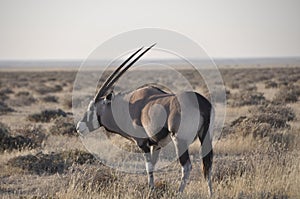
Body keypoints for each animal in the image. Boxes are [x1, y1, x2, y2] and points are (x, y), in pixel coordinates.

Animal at [76, 44, 214, 196]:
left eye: (92, 108)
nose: (79, 127)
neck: (128, 106)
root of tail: (201, 103)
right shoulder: (156, 144)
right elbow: (153, 165)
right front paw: (152, 189)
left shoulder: (142, 143)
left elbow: (148, 167)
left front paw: (150, 190)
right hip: (206, 137)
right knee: (207, 165)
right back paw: (210, 194)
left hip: (180, 141)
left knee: (187, 166)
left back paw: (179, 193)